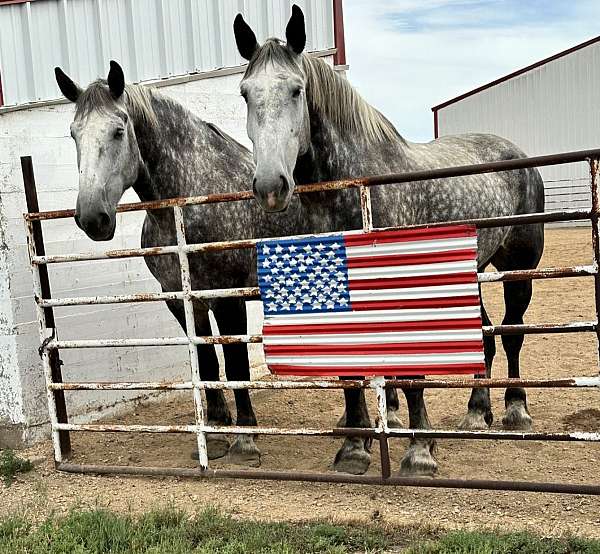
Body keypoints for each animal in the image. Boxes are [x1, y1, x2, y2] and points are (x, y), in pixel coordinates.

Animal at [234, 4, 544, 474]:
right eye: (245, 93)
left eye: (296, 90)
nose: (271, 185)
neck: (358, 183)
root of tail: (518, 155)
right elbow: (353, 369)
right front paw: (354, 447)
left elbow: (410, 370)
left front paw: (420, 452)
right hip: (471, 269)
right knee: (485, 338)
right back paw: (476, 413)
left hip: (518, 268)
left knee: (511, 332)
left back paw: (515, 410)